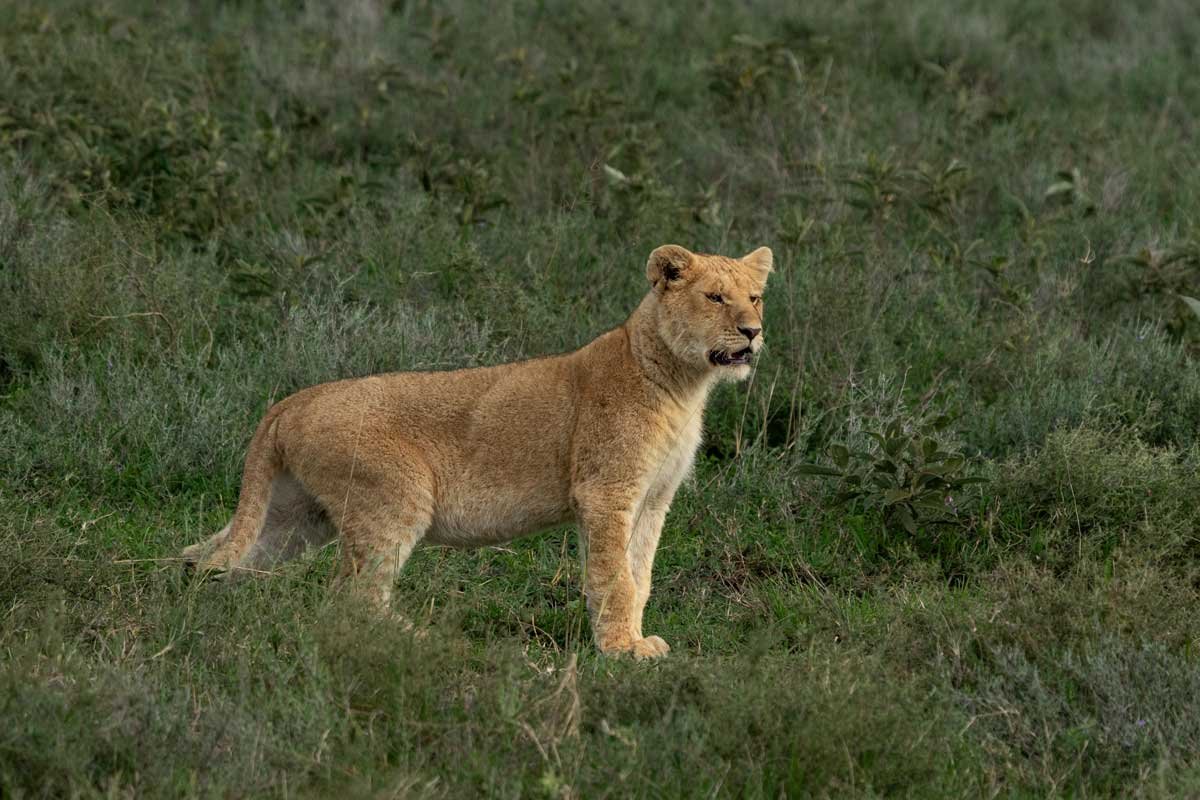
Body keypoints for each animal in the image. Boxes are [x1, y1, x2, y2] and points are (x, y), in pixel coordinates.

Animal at [181, 244, 773, 658]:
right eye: (715, 297)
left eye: (755, 296)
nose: (753, 331)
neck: (683, 385)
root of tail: (293, 400)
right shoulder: (606, 492)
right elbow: (615, 576)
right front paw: (621, 652)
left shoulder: (652, 499)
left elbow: (640, 573)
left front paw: (632, 639)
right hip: (393, 498)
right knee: (354, 599)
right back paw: (420, 641)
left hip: (295, 516)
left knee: (216, 558)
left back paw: (212, 610)